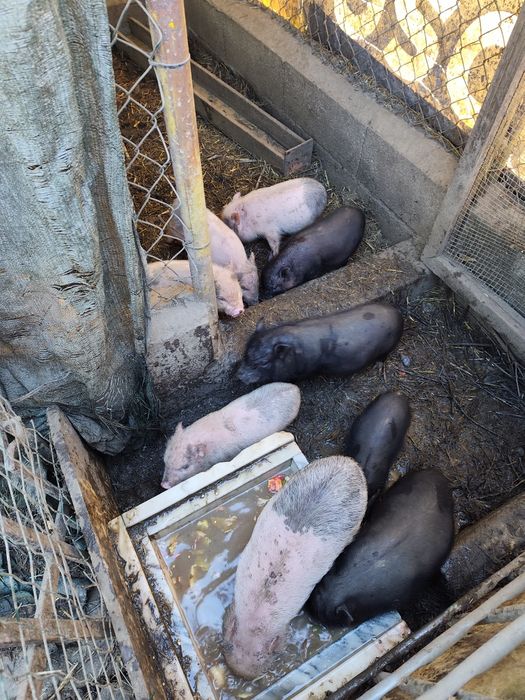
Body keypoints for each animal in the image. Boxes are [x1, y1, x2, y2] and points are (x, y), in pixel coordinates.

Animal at [237, 303, 403, 385]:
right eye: (245, 353)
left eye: (264, 362)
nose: (239, 375)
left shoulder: (301, 371)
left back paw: (378, 367)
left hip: (389, 345)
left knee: (384, 356)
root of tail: (398, 313)